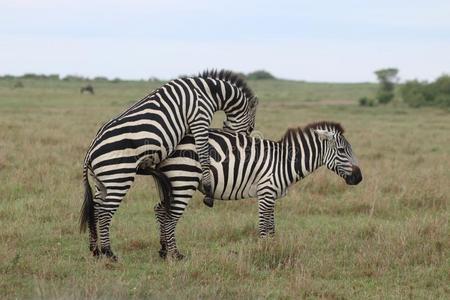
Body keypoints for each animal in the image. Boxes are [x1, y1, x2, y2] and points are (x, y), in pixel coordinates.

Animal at [79, 70, 258, 260]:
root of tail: (90, 150)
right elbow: (203, 151)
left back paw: (95, 250)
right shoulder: (199, 119)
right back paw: (109, 252)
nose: (238, 144)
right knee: (105, 212)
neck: (208, 91)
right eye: (250, 128)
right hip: (119, 177)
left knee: (95, 209)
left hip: (102, 181)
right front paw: (208, 188)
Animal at [151, 120, 362, 258]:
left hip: (169, 184)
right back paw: (174, 255)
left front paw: (273, 248)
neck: (284, 163)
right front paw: (264, 253)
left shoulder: (272, 195)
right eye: (342, 151)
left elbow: (271, 226)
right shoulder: (266, 192)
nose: (359, 178)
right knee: (170, 217)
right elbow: (264, 226)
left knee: (160, 210)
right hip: (183, 180)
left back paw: (163, 250)